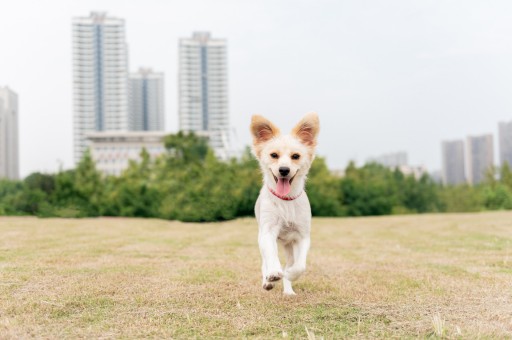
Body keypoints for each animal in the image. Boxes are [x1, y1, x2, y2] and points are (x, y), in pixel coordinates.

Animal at [249, 111, 318, 294]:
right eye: (274, 155)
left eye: (296, 156)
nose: (284, 170)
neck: (286, 200)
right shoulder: (267, 232)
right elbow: (271, 257)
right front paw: (272, 274)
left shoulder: (302, 236)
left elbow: (299, 266)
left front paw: (291, 274)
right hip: (262, 237)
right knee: (264, 261)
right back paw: (267, 280)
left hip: (289, 245)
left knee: (290, 262)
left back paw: (288, 290)